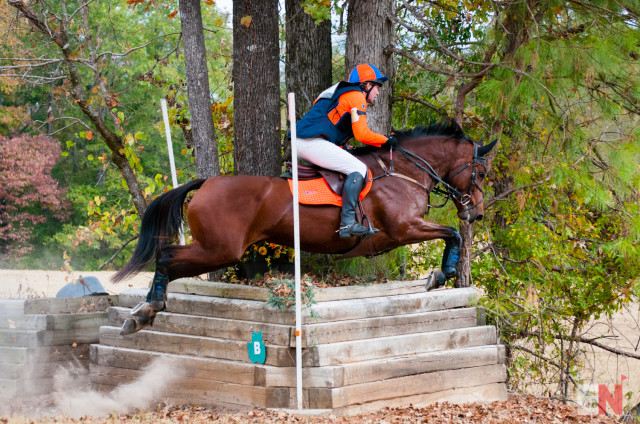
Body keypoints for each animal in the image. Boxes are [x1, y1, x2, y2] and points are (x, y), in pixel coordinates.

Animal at [114, 121, 496, 336]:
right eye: (479, 173)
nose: (476, 213)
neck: (403, 170)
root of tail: (207, 182)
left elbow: (450, 234)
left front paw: (442, 273)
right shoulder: (405, 229)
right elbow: (452, 233)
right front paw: (440, 275)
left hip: (216, 249)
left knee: (167, 259)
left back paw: (141, 311)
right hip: (219, 249)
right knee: (166, 257)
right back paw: (146, 310)